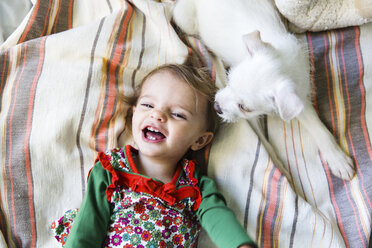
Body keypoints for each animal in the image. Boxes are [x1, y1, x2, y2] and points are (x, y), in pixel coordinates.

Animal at [174, 0, 354, 179]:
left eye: (244, 107)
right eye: (230, 80)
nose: (216, 106)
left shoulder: (298, 98)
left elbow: (319, 129)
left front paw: (338, 159)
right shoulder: (255, 120)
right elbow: (266, 145)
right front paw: (282, 170)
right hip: (184, 17)